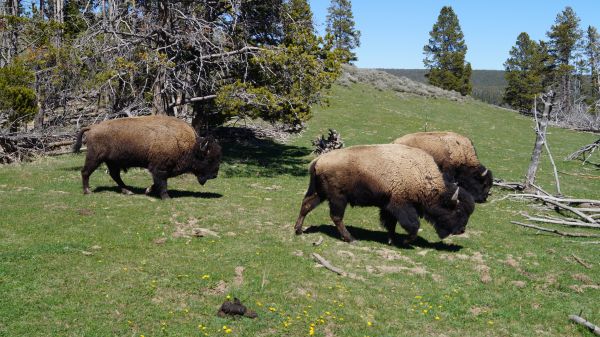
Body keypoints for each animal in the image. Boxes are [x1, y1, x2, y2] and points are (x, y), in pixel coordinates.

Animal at [72, 115, 221, 200]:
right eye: (209, 159)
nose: (214, 175)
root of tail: (93, 127)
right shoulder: (159, 169)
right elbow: (162, 183)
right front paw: (166, 198)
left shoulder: (165, 169)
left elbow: (158, 182)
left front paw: (148, 191)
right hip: (95, 158)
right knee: (85, 172)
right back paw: (88, 191)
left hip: (112, 162)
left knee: (115, 175)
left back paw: (128, 191)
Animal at [294, 143, 474, 243]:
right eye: (458, 211)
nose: (461, 230)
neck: (421, 176)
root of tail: (318, 161)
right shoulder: (400, 205)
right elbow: (413, 225)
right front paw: (406, 241)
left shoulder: (388, 207)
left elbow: (391, 224)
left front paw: (391, 239)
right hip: (338, 198)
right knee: (336, 217)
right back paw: (351, 239)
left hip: (320, 194)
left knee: (306, 206)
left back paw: (298, 230)